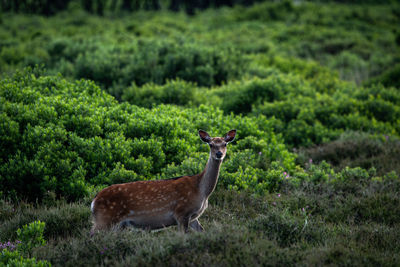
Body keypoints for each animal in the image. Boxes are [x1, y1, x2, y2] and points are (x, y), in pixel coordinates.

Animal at [91, 129, 234, 232]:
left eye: (225, 144)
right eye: (211, 144)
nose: (219, 154)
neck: (202, 192)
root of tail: (94, 201)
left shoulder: (193, 217)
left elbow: (202, 231)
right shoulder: (181, 212)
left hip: (117, 224)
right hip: (104, 219)